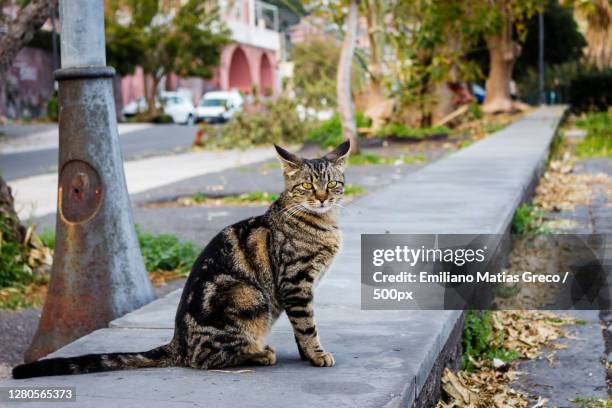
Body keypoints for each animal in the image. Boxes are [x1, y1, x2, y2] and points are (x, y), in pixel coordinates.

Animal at [13, 140, 350, 380]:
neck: (324, 224)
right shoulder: (295, 283)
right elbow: (307, 326)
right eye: (307, 186)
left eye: (332, 184)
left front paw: (307, 355)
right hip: (250, 298)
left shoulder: (299, 289)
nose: (322, 198)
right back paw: (259, 354)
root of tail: (179, 341)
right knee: (204, 360)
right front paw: (317, 355)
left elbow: (300, 327)